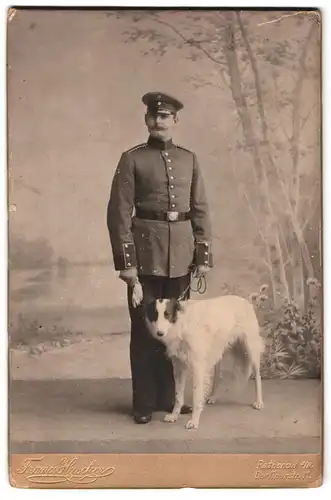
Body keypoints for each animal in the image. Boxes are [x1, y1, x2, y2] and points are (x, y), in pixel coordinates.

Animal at [145, 296, 264, 430]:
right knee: (217, 378)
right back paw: (213, 397)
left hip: (251, 349)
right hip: (217, 353)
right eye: (155, 315)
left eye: (167, 314)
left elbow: (197, 396)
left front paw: (194, 421)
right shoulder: (179, 367)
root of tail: (244, 300)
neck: (181, 324)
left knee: (258, 376)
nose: (159, 333)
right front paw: (174, 416)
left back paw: (259, 402)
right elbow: (178, 396)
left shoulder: (197, 366)